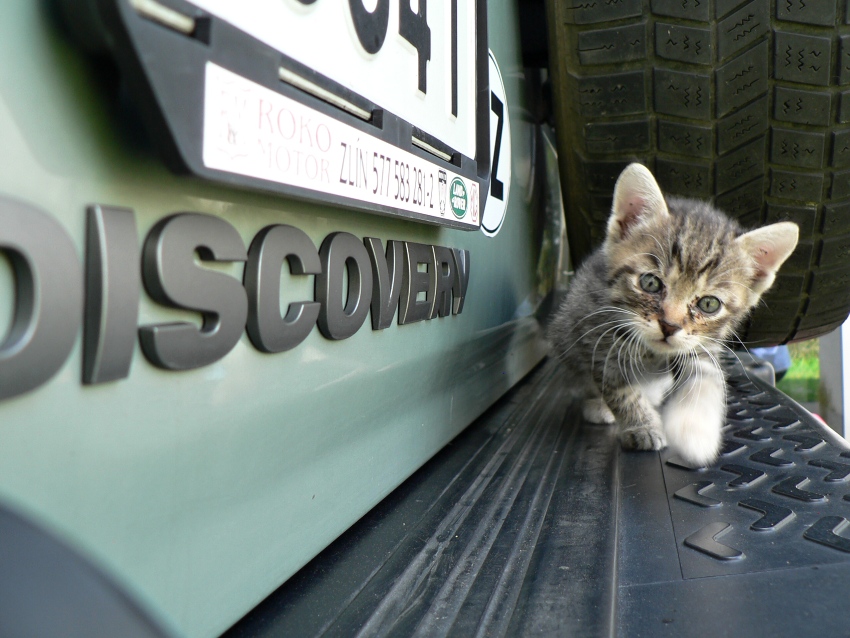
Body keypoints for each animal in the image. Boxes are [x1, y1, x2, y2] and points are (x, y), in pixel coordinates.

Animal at [548, 163, 799, 466]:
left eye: (709, 304)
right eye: (650, 283)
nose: (669, 326)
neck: (652, 354)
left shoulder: (700, 346)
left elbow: (706, 379)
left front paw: (694, 431)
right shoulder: (597, 336)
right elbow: (620, 390)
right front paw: (642, 425)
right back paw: (599, 406)